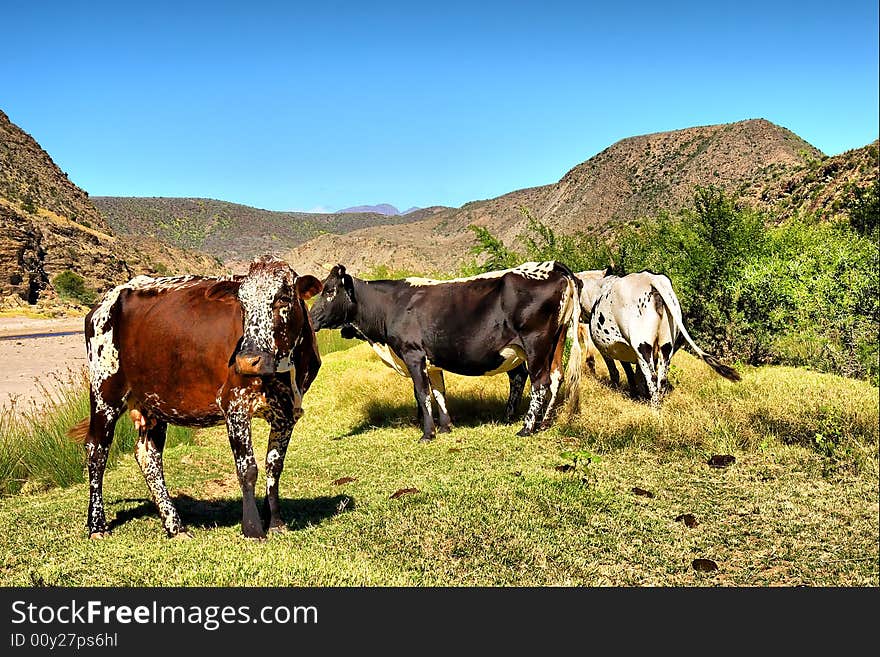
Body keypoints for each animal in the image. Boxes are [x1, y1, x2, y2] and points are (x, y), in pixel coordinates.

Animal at [68, 255, 324, 540]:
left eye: (283, 298)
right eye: (243, 304)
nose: (248, 360)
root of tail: (104, 303)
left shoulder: (287, 413)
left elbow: (274, 467)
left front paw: (276, 523)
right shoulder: (234, 405)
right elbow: (247, 469)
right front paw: (253, 529)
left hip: (153, 403)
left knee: (148, 456)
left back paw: (175, 526)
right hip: (105, 391)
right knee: (96, 450)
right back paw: (97, 526)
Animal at [310, 258, 584, 438]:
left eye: (330, 291)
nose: (311, 318)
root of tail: (551, 266)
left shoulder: (413, 354)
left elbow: (422, 394)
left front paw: (427, 433)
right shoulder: (432, 361)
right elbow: (439, 392)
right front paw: (445, 427)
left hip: (535, 342)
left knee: (540, 381)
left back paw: (527, 428)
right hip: (556, 340)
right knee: (556, 377)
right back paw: (544, 422)